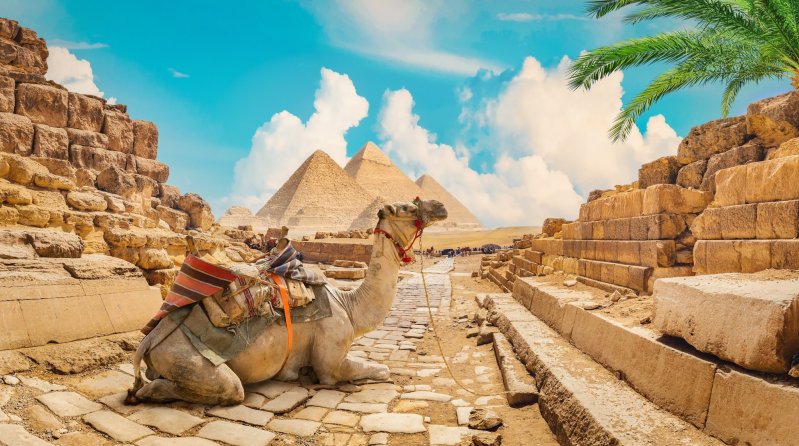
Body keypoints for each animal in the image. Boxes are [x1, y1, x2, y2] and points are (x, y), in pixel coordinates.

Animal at [127, 199, 447, 405]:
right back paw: (142, 393)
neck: (349, 305)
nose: (441, 207)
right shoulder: (331, 360)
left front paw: (298, 374)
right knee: (229, 389)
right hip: (187, 359)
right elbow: (380, 370)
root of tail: (149, 339)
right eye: (408, 208)